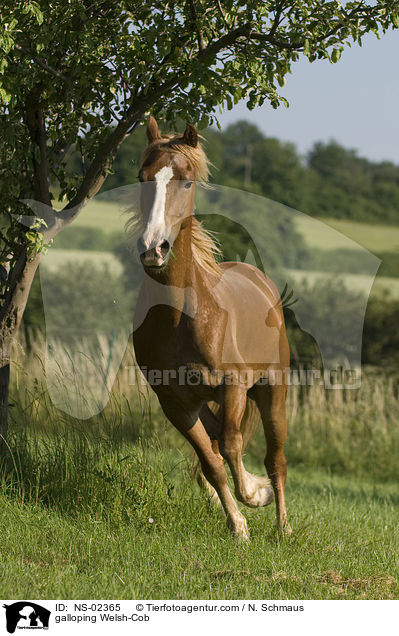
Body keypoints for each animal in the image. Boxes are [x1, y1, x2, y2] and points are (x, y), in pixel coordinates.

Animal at [131, 117, 290, 540]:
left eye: (186, 182)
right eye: (142, 178)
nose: (153, 248)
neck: (181, 317)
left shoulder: (233, 388)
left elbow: (233, 448)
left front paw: (255, 494)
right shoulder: (174, 402)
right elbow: (211, 462)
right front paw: (238, 526)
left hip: (273, 388)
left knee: (276, 458)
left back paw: (283, 526)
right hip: (205, 403)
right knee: (219, 443)